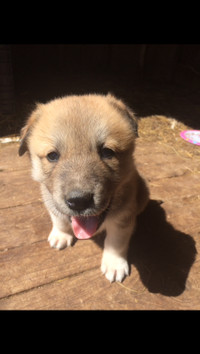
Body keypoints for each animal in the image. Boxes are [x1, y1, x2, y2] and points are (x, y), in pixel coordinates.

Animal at [18, 93, 149, 282]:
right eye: (52, 156)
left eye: (107, 152)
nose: (79, 201)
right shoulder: (51, 202)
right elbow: (58, 218)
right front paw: (61, 234)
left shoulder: (123, 217)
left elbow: (116, 241)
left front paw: (115, 264)